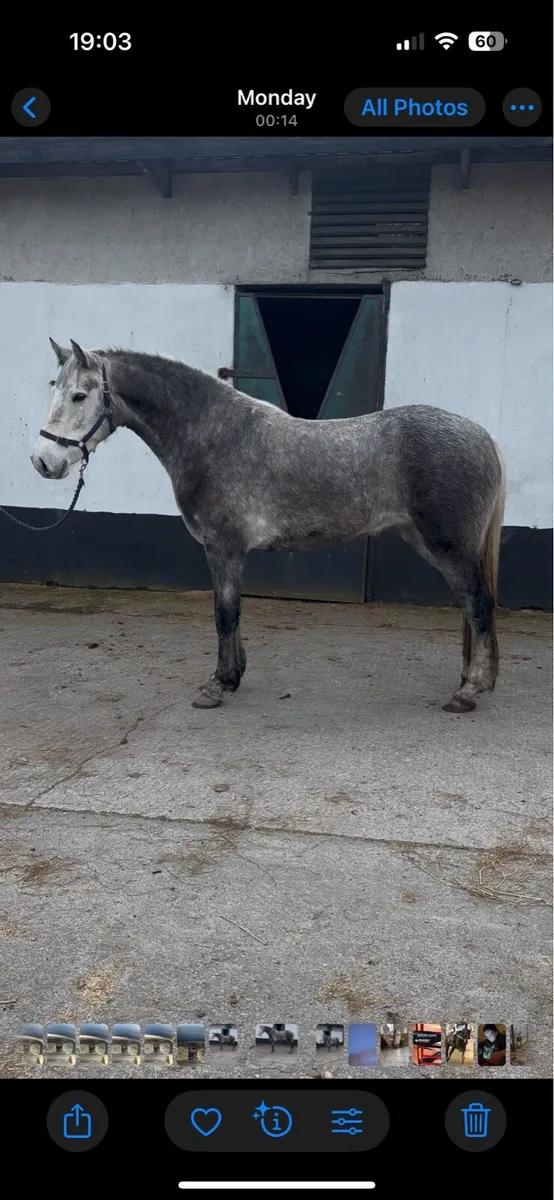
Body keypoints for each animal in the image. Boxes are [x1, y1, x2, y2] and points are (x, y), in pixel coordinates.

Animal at [32, 339, 507, 714]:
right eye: (54, 389)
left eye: (79, 395)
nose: (42, 461)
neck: (213, 436)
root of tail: (483, 436)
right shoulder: (229, 551)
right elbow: (233, 613)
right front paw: (234, 675)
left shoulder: (223, 547)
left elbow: (224, 613)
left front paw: (218, 685)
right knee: (472, 609)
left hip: (449, 546)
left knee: (479, 604)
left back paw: (468, 691)